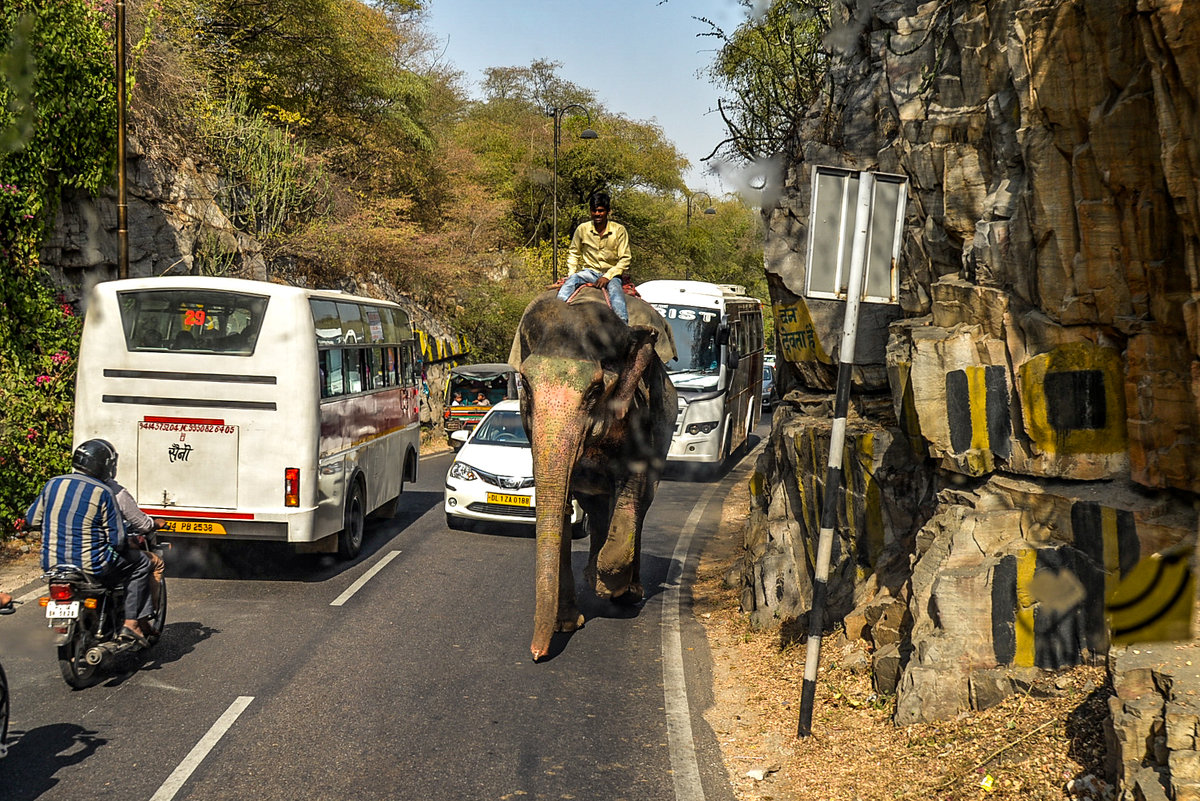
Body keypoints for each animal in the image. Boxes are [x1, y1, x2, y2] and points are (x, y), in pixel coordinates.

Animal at [506, 284, 676, 661]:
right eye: (525, 385)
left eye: (595, 391)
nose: (536, 653)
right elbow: (561, 508)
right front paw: (567, 624)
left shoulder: (639, 414)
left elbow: (632, 489)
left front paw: (602, 583)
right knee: (598, 508)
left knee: (641, 504)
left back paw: (629, 590)